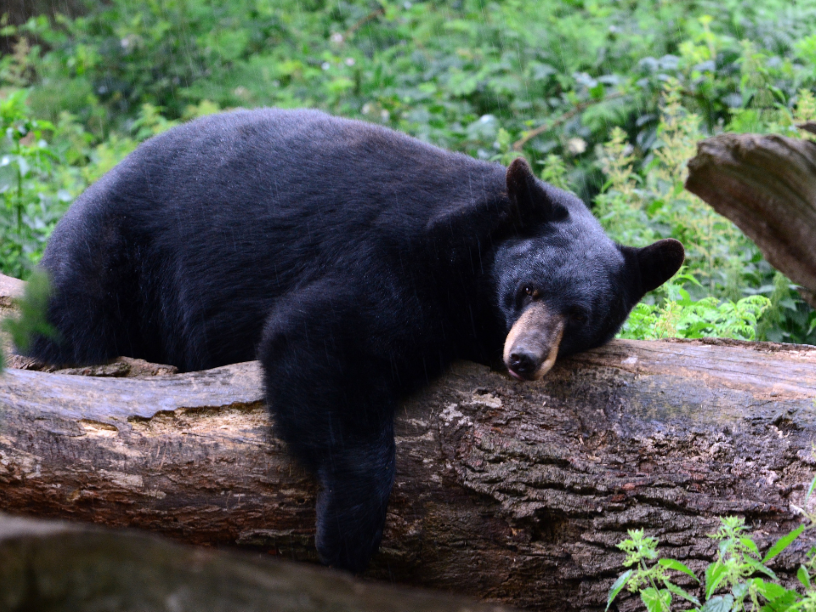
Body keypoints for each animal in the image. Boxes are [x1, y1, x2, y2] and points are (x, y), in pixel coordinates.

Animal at [27, 109, 684, 572]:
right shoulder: (402, 255)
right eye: (527, 288)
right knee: (75, 320)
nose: (523, 359)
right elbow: (323, 334)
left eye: (579, 315)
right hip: (114, 254)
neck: (475, 248)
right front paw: (348, 532)